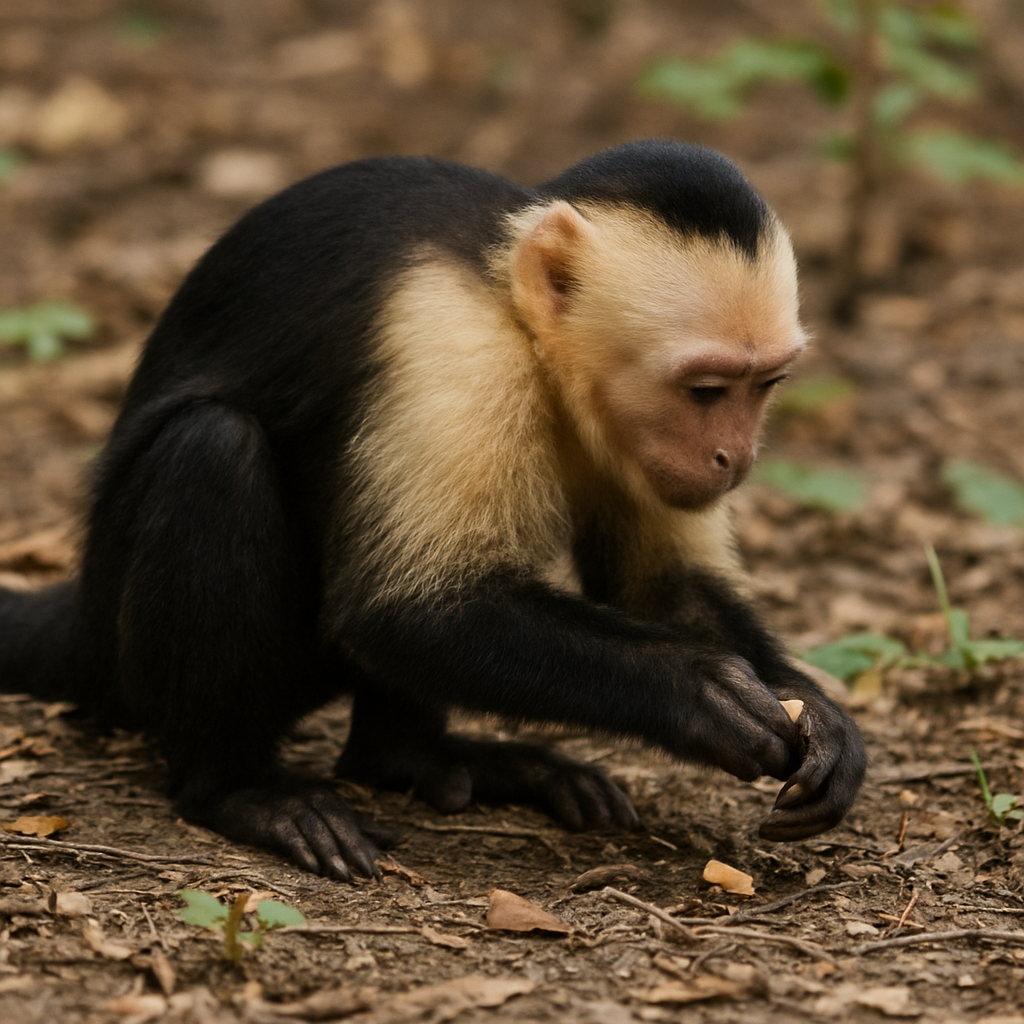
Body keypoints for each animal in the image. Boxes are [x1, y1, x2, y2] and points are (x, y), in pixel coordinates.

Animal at [0, 140, 866, 881]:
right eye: (706, 391)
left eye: (765, 386)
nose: (736, 457)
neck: (516, 313)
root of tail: (81, 610)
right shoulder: (449, 343)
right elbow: (406, 608)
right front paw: (702, 692)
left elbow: (655, 587)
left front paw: (818, 713)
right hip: (125, 644)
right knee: (212, 449)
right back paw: (236, 789)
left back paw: (416, 759)